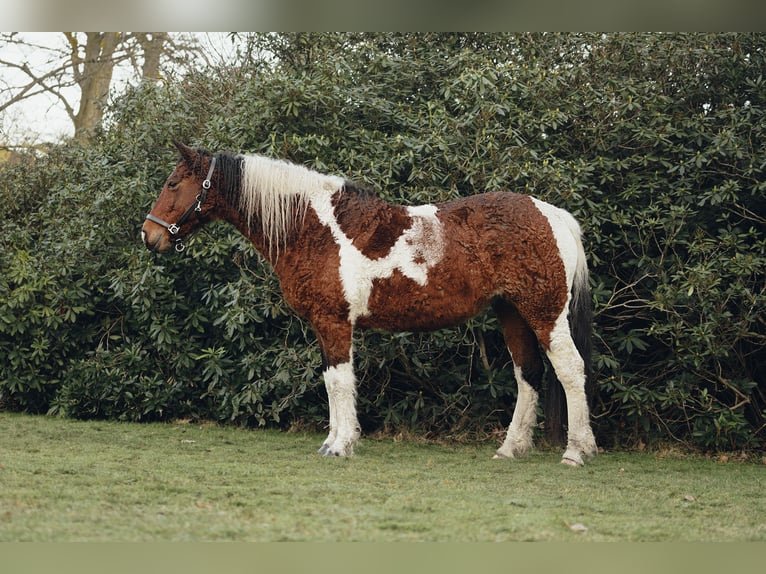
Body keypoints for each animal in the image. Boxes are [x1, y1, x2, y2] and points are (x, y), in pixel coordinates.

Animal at [144, 143, 600, 468]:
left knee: (569, 370)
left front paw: (340, 445)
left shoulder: (333, 321)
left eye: (173, 183)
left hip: (545, 313)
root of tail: (553, 215)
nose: (149, 236)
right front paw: (333, 440)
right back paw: (510, 448)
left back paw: (576, 451)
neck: (313, 228)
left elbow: (340, 382)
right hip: (512, 313)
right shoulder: (324, 324)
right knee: (529, 374)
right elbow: (331, 380)